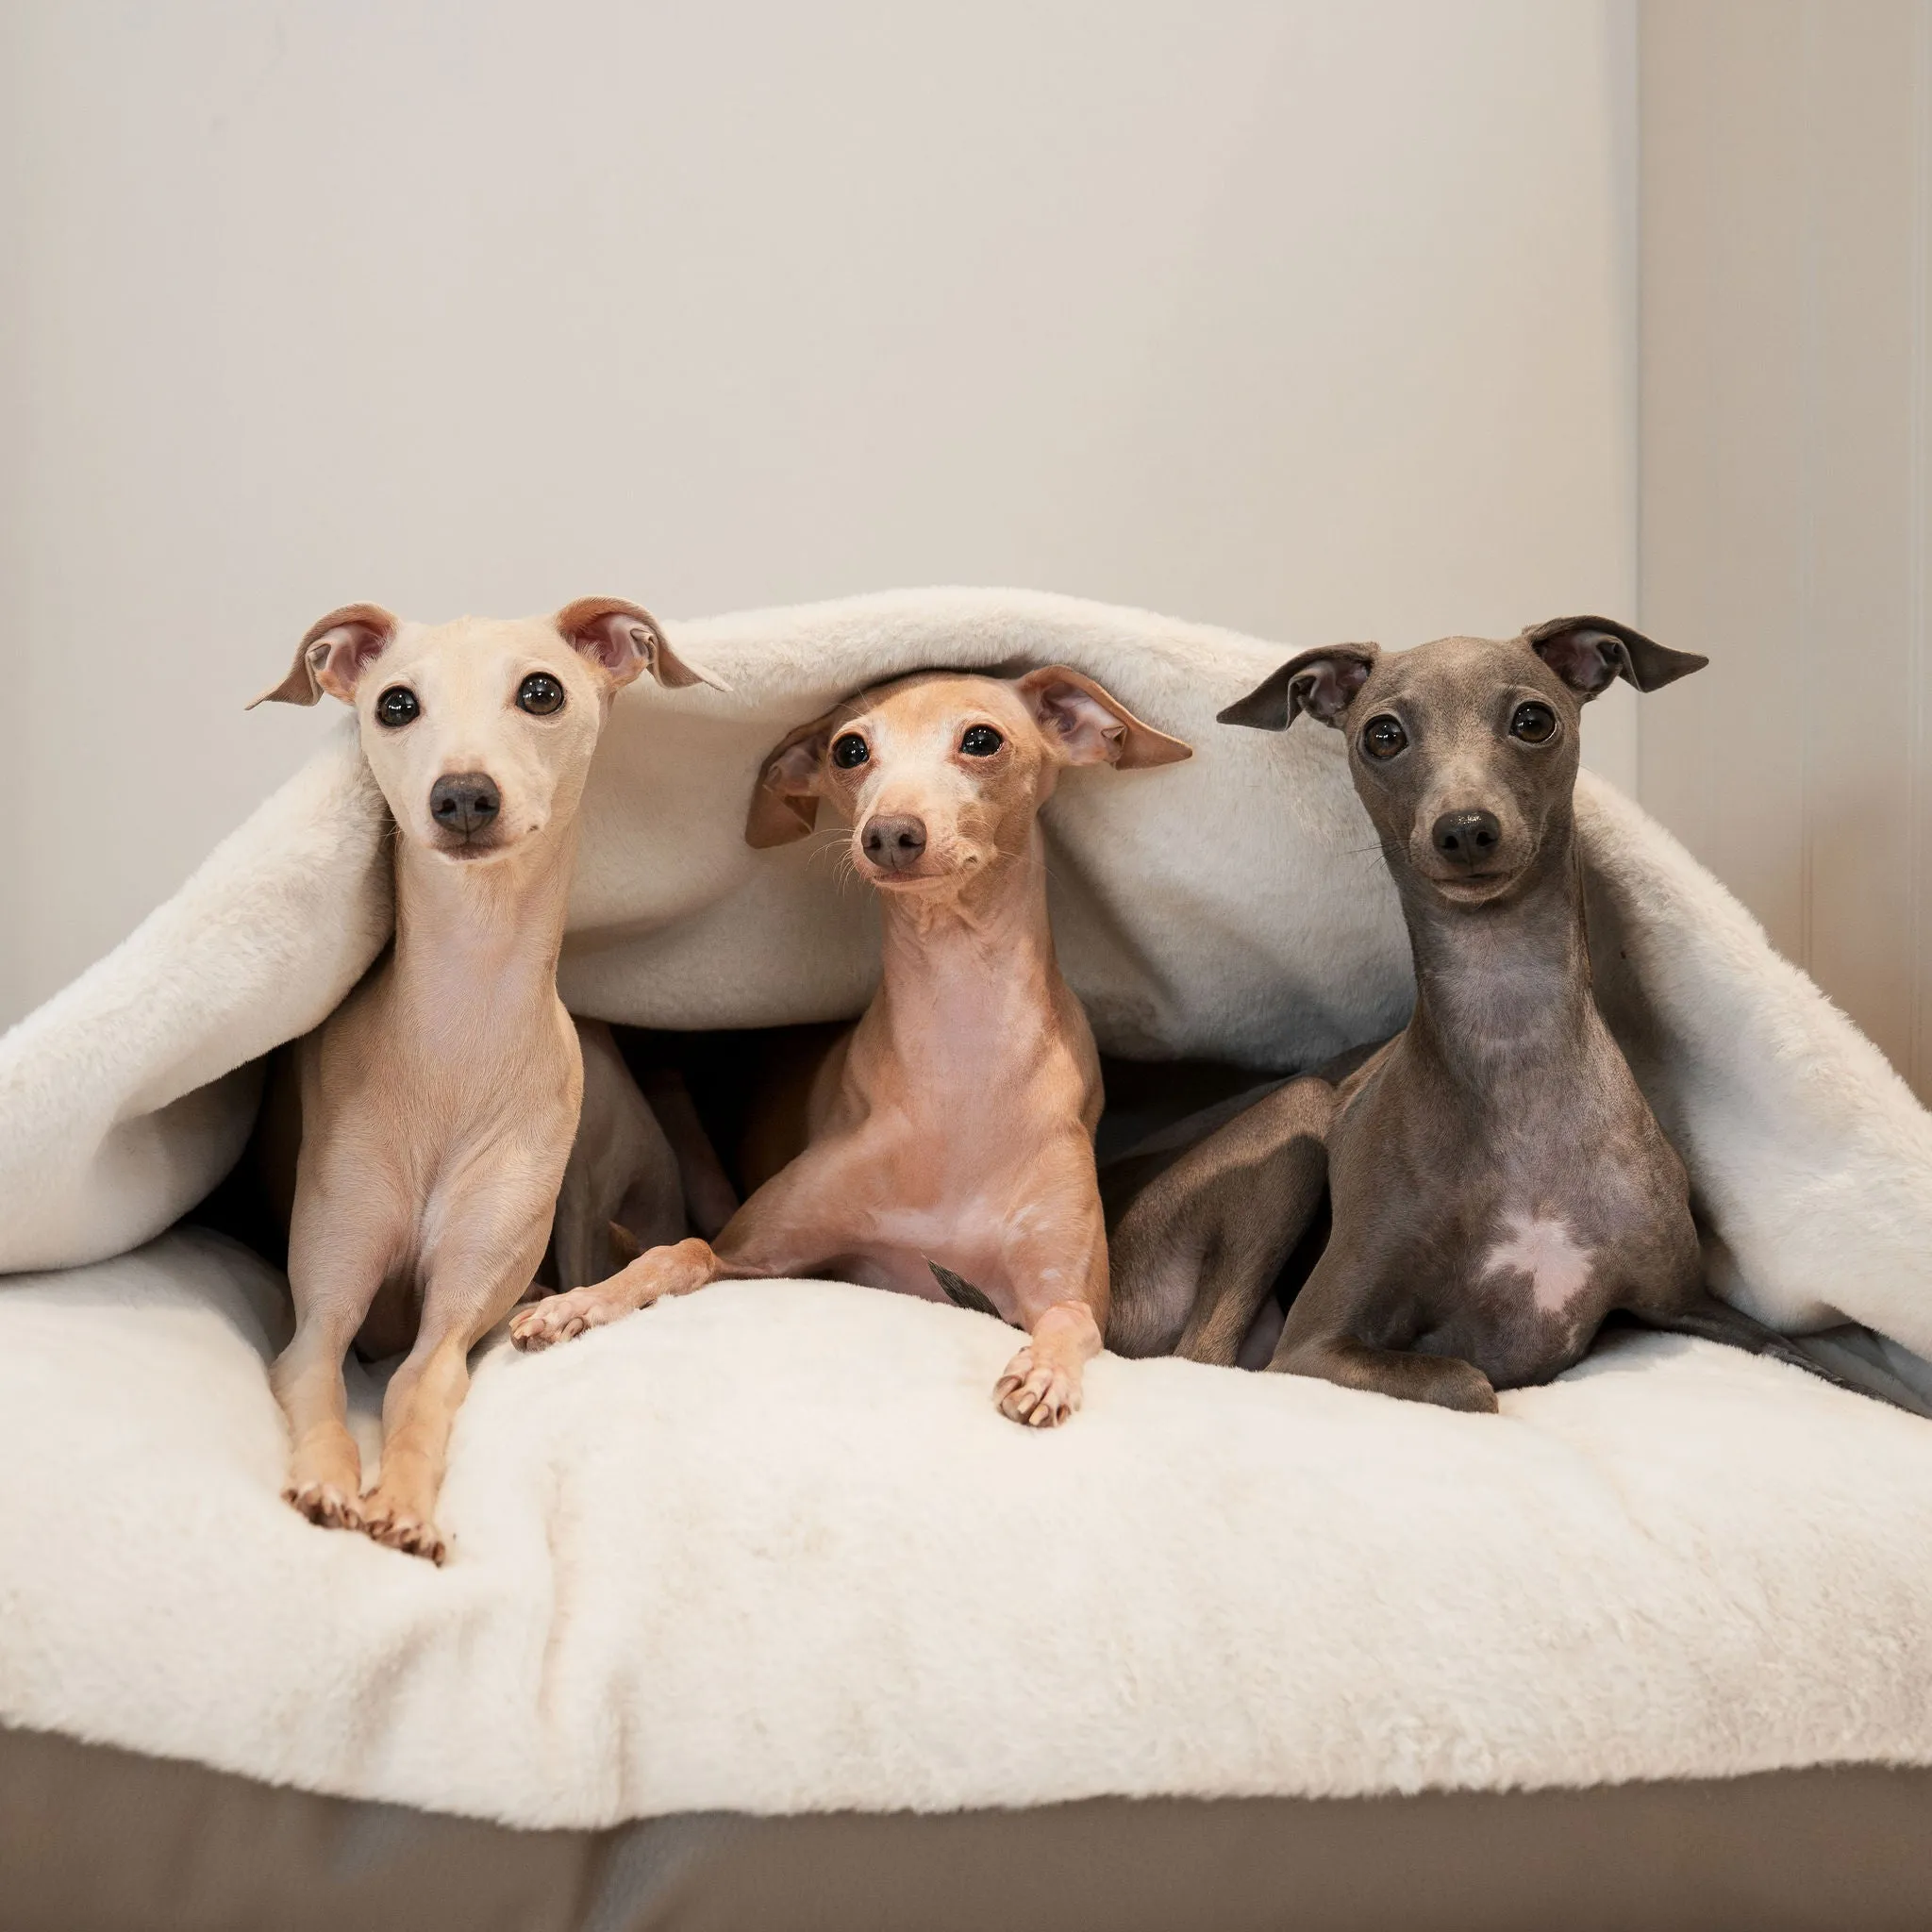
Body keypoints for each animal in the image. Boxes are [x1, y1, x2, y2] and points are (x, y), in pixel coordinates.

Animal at [249, 594, 718, 1560]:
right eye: (395, 703)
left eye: (541, 691)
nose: (463, 795)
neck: (457, 1038)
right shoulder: (320, 1311)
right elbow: (317, 1377)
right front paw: (328, 1482)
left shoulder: (457, 1314)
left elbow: (422, 1386)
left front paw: (403, 1504)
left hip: (591, 1173)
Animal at [506, 672, 1182, 1429]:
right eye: (849, 749)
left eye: (982, 739)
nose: (890, 834)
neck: (961, 1068)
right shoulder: (754, 1251)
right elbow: (679, 1252)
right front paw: (580, 1302)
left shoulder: (1065, 1285)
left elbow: (1072, 1321)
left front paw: (1045, 1372)